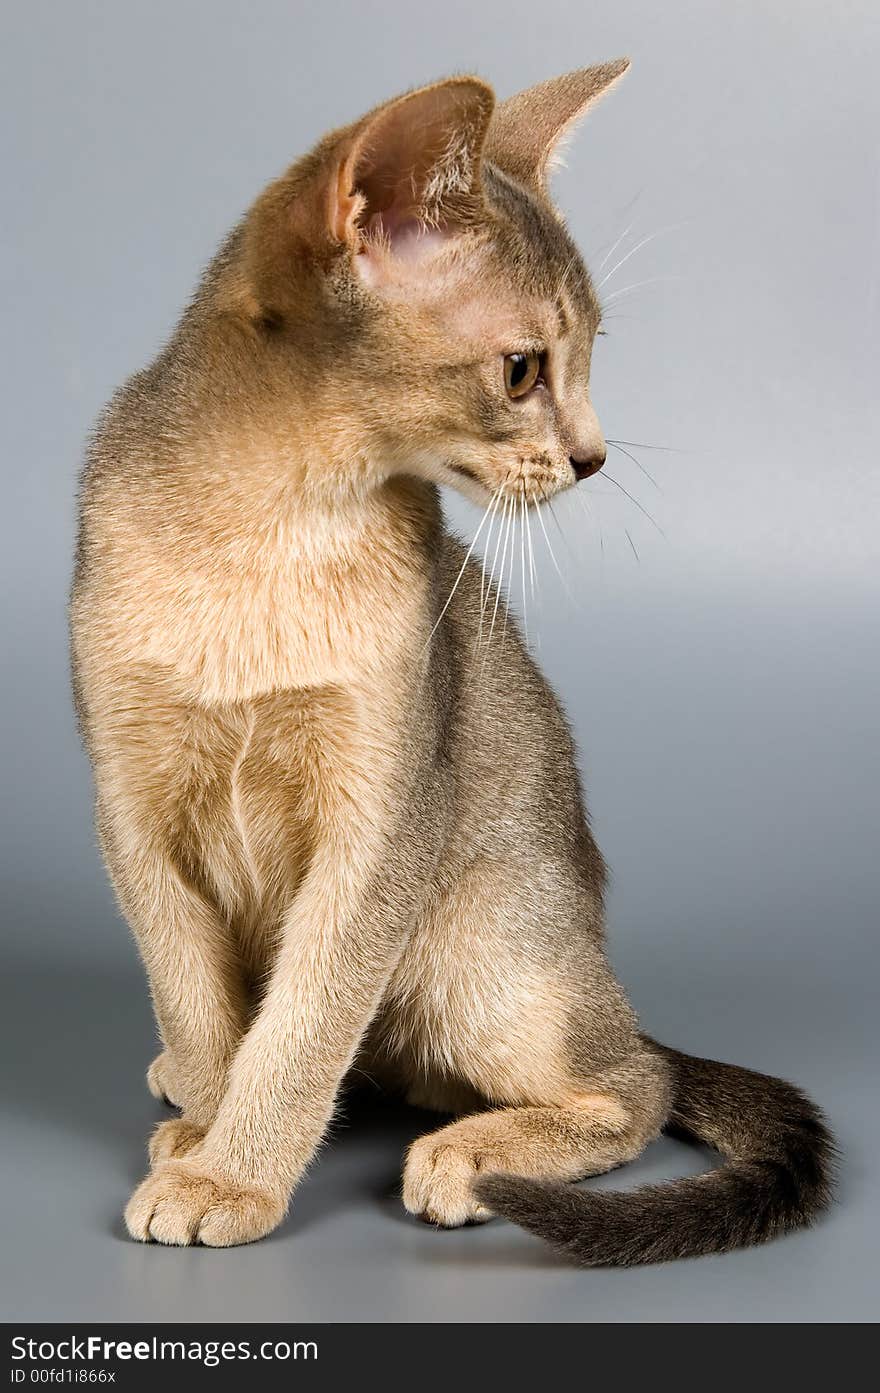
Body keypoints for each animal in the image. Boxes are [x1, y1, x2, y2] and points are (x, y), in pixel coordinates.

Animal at [70, 65, 829, 1264]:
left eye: (588, 356)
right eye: (522, 370)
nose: (592, 456)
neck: (261, 531)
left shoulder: (381, 820)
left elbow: (300, 1029)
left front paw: (231, 1172)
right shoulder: (130, 806)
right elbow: (194, 998)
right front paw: (203, 1122)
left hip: (477, 945)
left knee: (636, 1080)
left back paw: (469, 1156)